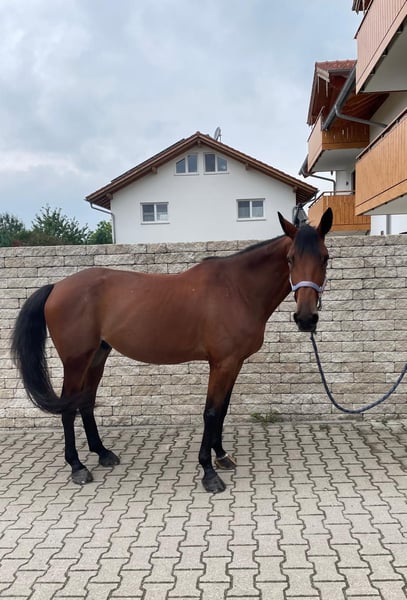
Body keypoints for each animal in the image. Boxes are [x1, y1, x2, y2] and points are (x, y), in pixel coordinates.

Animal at [11, 208, 332, 493]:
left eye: (325, 258)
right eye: (290, 259)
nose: (306, 319)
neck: (237, 289)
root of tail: (56, 287)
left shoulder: (233, 363)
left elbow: (223, 409)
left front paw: (221, 455)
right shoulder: (222, 364)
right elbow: (211, 412)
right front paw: (209, 472)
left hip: (98, 357)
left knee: (86, 402)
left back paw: (103, 453)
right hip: (76, 361)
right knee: (68, 409)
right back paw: (77, 467)